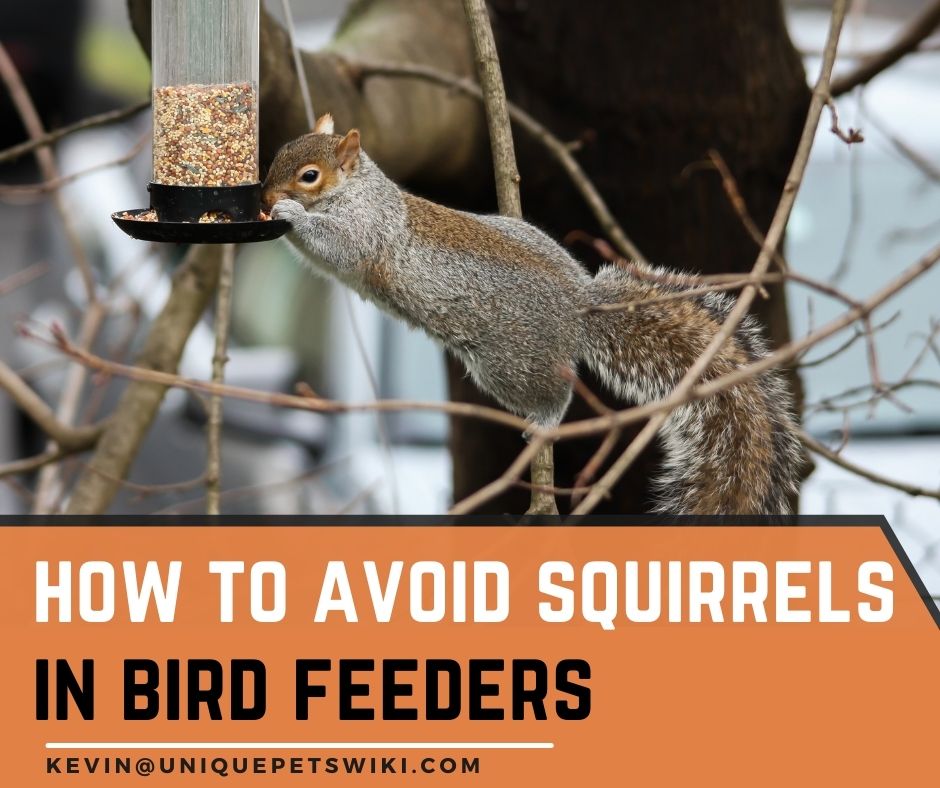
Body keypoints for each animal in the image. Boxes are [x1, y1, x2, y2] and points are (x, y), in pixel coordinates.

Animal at [261, 114, 803, 515]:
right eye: (278, 152)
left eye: (309, 175)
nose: (265, 196)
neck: (355, 190)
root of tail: (579, 305)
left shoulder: (365, 230)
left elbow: (335, 245)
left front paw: (291, 214)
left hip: (508, 362)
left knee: (554, 395)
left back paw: (544, 420)